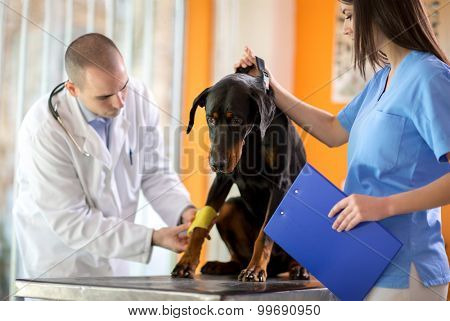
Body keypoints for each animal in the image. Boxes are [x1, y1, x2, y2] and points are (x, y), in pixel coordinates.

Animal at [172, 59, 310, 280]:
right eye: (210, 119)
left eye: (236, 120)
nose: (216, 163)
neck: (252, 136)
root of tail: (276, 267)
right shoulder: (221, 181)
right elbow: (201, 225)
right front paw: (186, 262)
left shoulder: (280, 184)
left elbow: (265, 234)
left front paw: (255, 268)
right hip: (229, 209)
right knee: (238, 254)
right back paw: (224, 265)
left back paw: (297, 267)